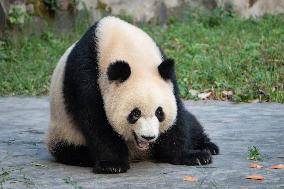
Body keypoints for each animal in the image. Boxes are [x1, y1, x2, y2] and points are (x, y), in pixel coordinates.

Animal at [47, 16, 219, 174]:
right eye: (135, 114)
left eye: (159, 112)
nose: (149, 137)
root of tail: (140, 154)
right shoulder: (84, 75)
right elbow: (95, 120)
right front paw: (112, 165)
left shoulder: (167, 74)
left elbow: (177, 118)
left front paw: (192, 156)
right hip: (63, 131)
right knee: (71, 151)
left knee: (192, 123)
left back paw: (208, 147)